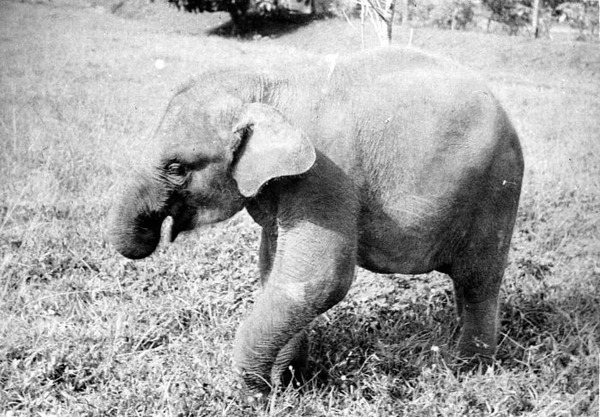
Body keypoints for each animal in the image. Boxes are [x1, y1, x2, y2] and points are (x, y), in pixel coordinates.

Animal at [110, 47, 524, 394]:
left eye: (176, 168)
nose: (153, 235)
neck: (269, 87)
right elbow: (275, 268)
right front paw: (290, 382)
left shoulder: (325, 176)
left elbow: (319, 279)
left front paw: (256, 392)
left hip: (496, 189)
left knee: (477, 280)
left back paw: (465, 371)